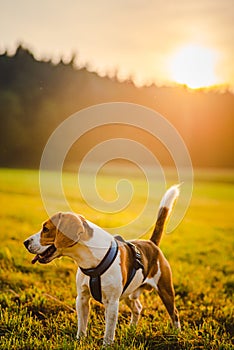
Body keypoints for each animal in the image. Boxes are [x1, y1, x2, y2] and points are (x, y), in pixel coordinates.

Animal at [23, 186, 181, 344]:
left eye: (45, 229)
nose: (25, 242)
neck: (91, 260)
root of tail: (151, 243)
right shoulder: (82, 298)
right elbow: (82, 326)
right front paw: (80, 341)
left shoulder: (112, 302)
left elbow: (109, 332)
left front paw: (107, 345)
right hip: (128, 293)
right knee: (137, 308)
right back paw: (131, 329)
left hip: (165, 290)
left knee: (174, 313)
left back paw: (177, 334)